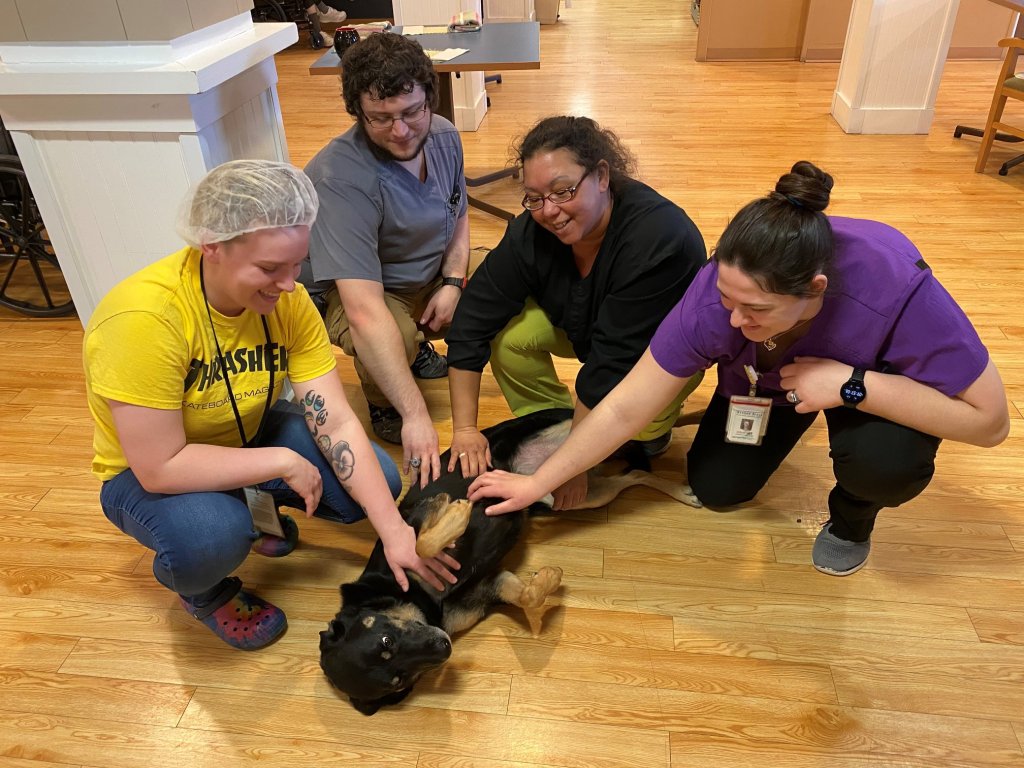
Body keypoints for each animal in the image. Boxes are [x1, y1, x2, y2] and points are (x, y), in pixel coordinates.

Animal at [321, 409, 704, 716]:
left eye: (386, 642)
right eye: (398, 681)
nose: (444, 647)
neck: (420, 604)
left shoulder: (411, 522)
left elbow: (425, 542)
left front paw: (457, 512)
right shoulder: (492, 584)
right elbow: (529, 597)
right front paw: (549, 579)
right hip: (574, 493)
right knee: (632, 475)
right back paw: (681, 489)